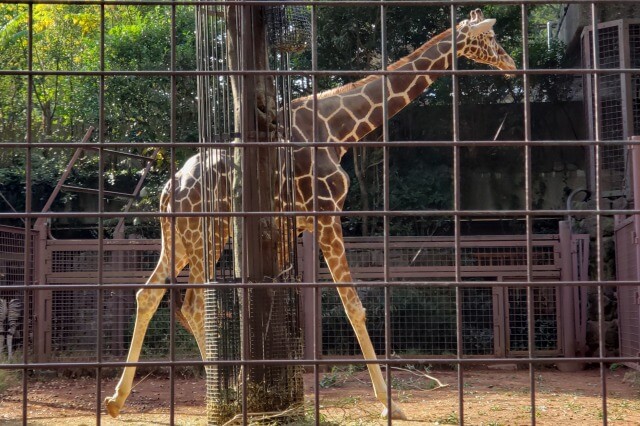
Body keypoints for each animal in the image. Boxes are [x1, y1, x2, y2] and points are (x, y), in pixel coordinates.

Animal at [105, 9, 516, 420]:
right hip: (206, 236)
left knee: (148, 294)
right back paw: (220, 398)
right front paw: (390, 403)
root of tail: (167, 191)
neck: (337, 128)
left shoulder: (294, 225)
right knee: (192, 305)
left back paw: (120, 399)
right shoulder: (327, 213)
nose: (511, 64)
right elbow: (353, 306)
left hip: (182, 241)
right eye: (490, 37)